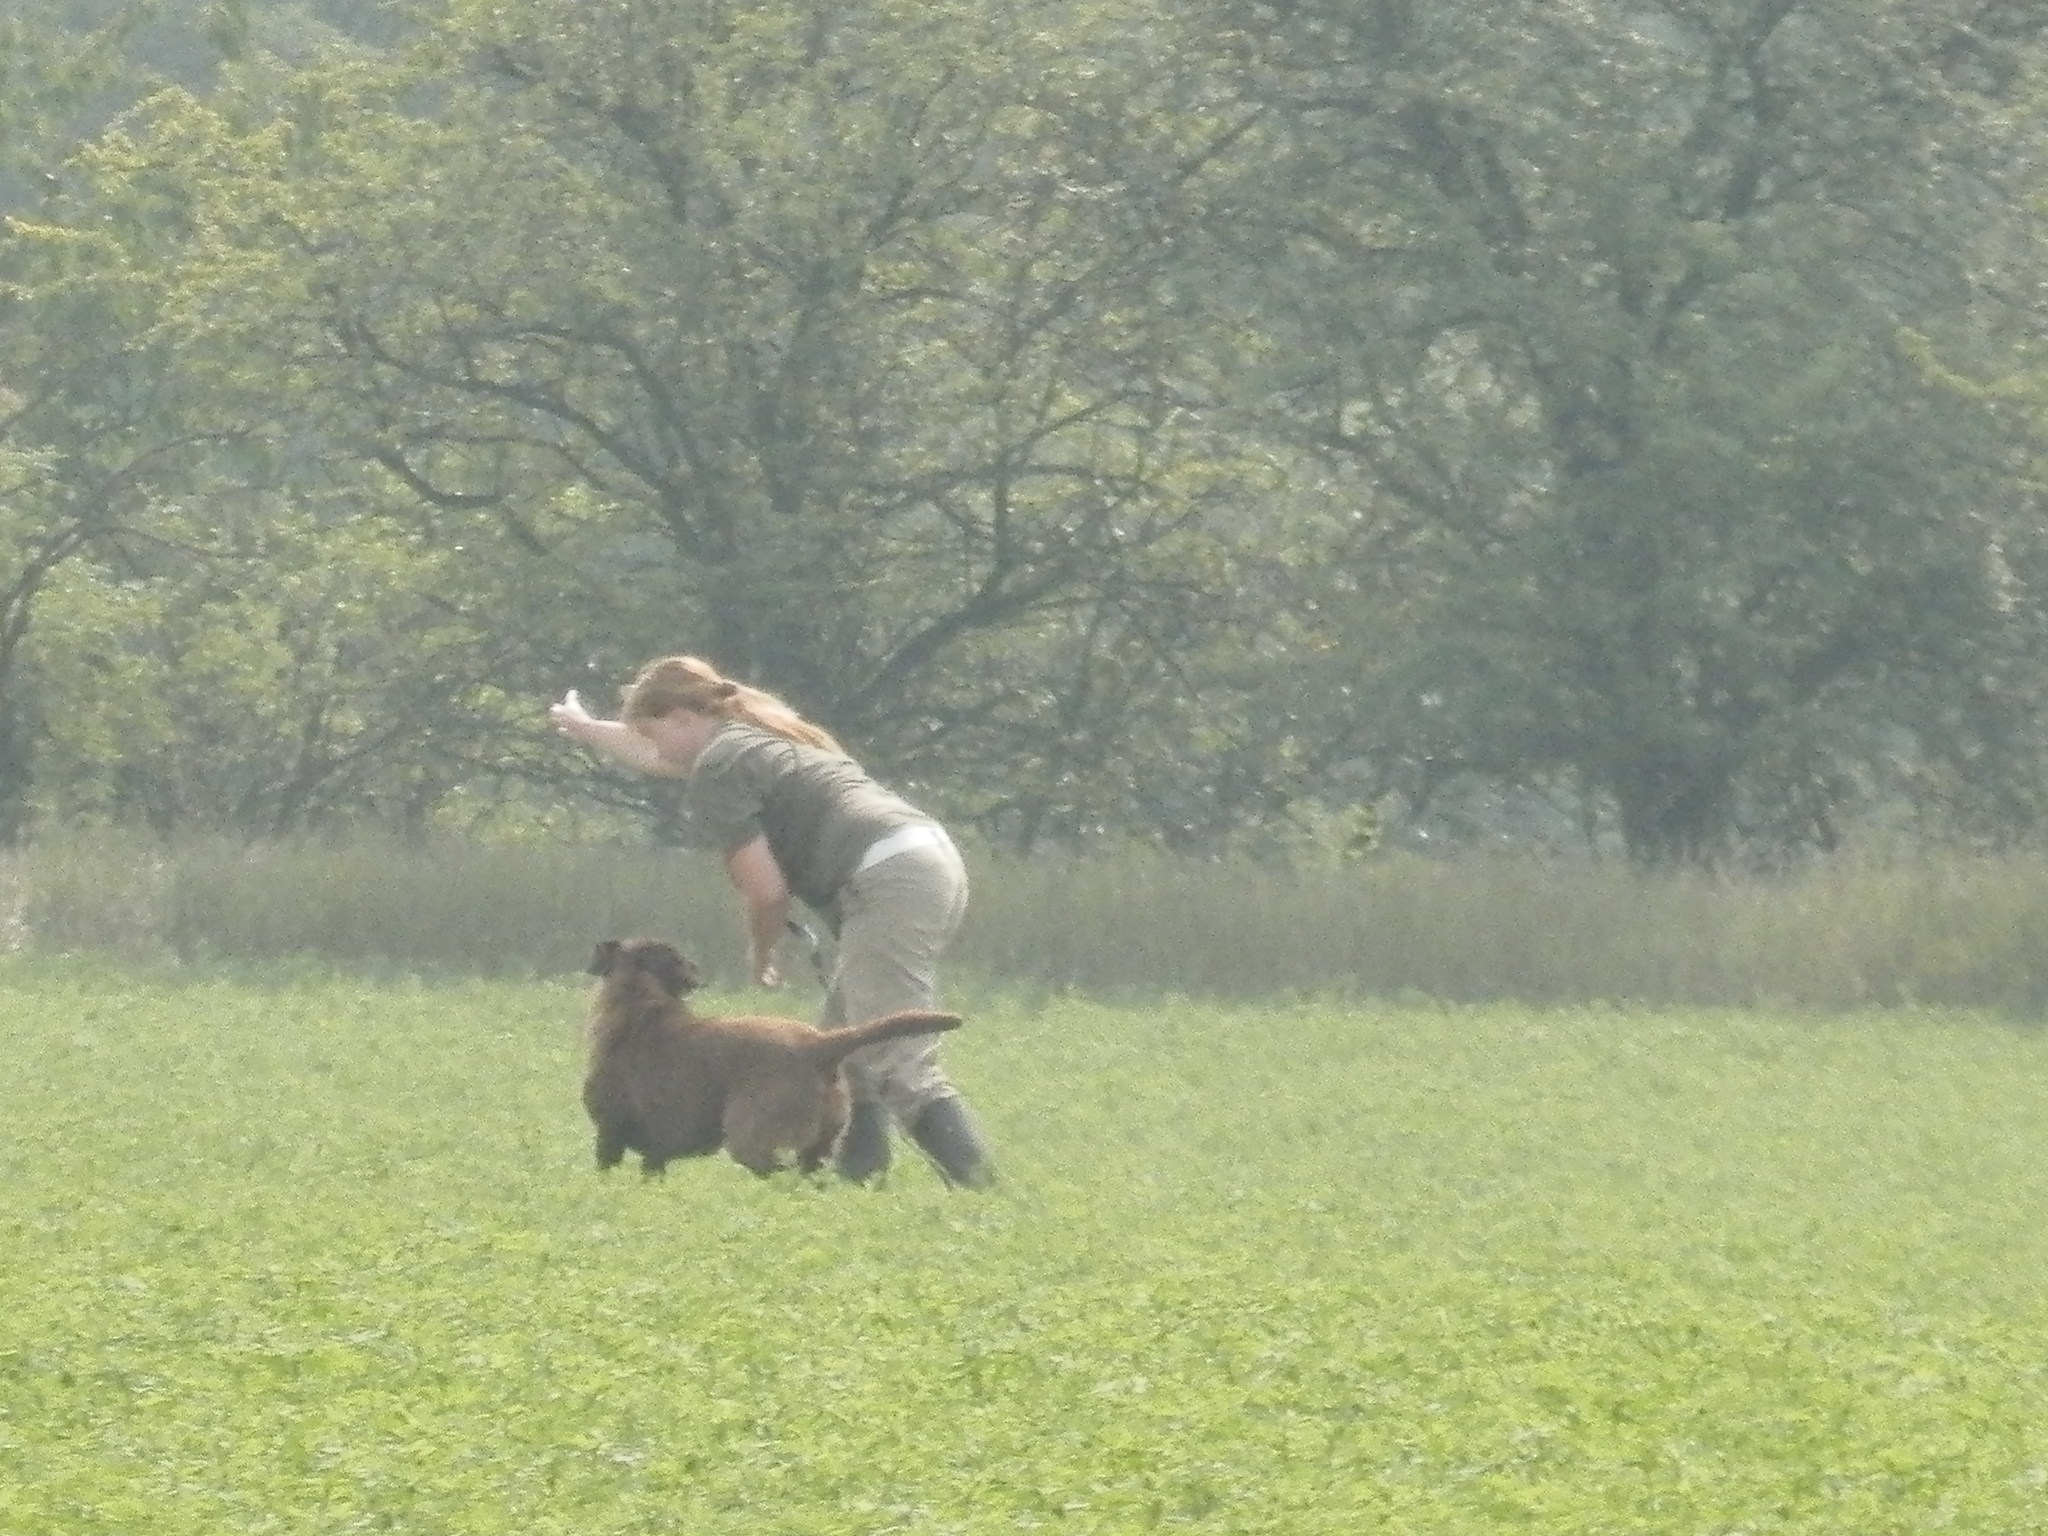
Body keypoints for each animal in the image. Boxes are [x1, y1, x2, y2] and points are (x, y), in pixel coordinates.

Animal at [577, 937, 958, 1179]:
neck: (641, 1002)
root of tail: (820, 1045)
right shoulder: (655, 1154)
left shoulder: (609, 1135)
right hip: (818, 1146)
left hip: (748, 1134)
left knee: (779, 1172)